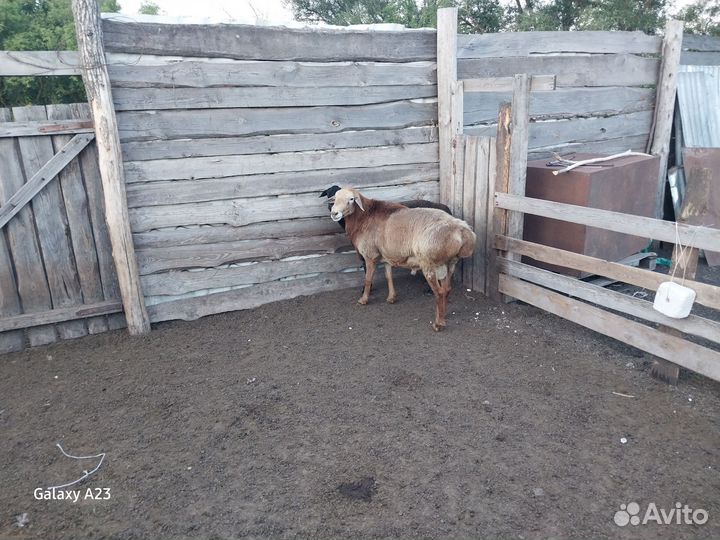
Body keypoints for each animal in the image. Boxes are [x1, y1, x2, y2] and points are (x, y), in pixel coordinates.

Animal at [329, 187, 476, 331]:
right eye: (335, 198)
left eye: (351, 199)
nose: (334, 213)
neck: (364, 217)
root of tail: (463, 231)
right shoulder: (386, 256)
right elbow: (388, 276)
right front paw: (391, 298)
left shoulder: (370, 256)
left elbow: (368, 279)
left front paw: (363, 299)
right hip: (449, 264)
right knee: (447, 289)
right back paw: (443, 315)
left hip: (429, 263)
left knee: (439, 292)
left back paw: (438, 324)